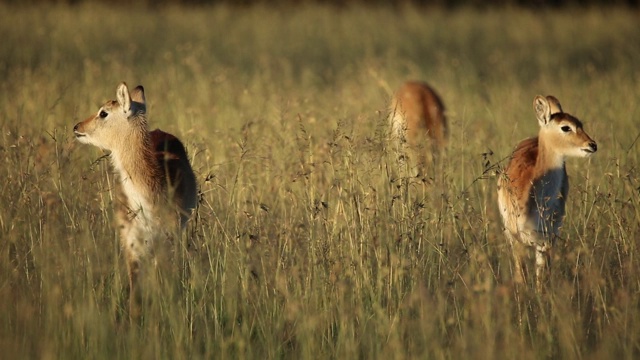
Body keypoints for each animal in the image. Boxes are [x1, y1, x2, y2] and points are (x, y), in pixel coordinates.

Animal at [498, 95, 596, 290]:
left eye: (580, 123)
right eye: (565, 127)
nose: (592, 145)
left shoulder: (548, 240)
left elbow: (542, 282)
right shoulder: (518, 239)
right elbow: (521, 278)